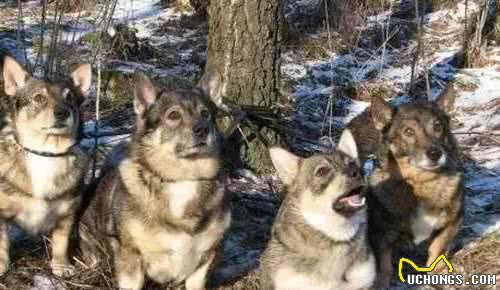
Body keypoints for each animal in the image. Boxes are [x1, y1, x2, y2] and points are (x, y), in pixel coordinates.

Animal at [0, 55, 91, 276]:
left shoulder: (67, 214)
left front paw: (61, 265)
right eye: (39, 98)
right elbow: (1, 243)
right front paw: (1, 264)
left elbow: (61, 242)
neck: (46, 153)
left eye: (70, 97)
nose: (62, 112)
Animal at [78, 71, 230, 290]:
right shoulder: (131, 259)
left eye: (206, 114)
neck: (183, 178)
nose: (203, 129)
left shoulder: (205, 261)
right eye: (174, 115)